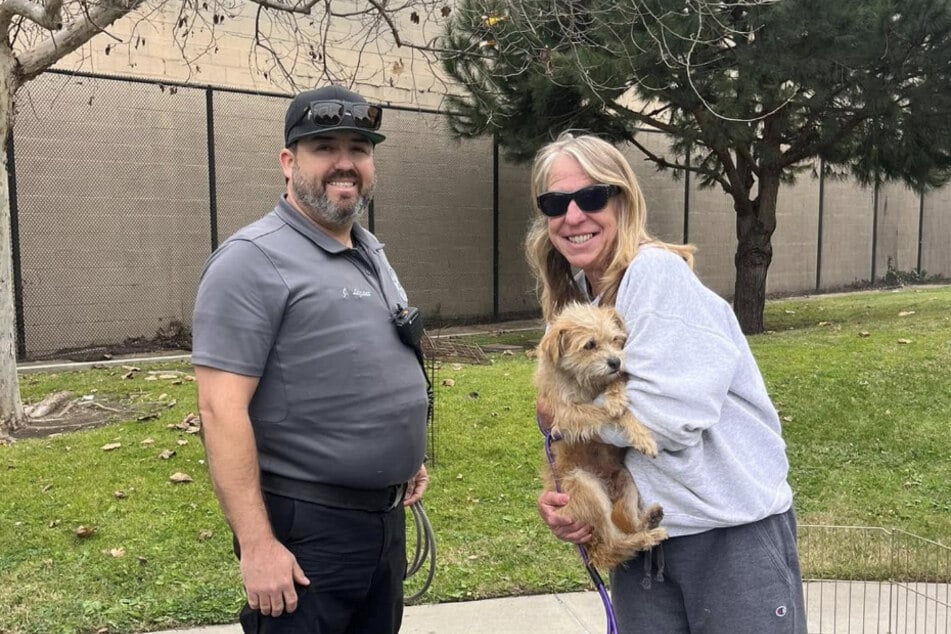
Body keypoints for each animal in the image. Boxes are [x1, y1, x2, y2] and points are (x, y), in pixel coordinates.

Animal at [536, 302, 668, 568]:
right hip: (584, 485)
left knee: (625, 524)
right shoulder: (567, 415)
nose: (616, 362)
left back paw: (647, 521)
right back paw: (645, 537)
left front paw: (616, 397)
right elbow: (610, 413)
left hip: (626, 480)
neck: (584, 379)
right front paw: (639, 432)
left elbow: (616, 386)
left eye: (616, 340)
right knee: (612, 543)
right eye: (589, 345)